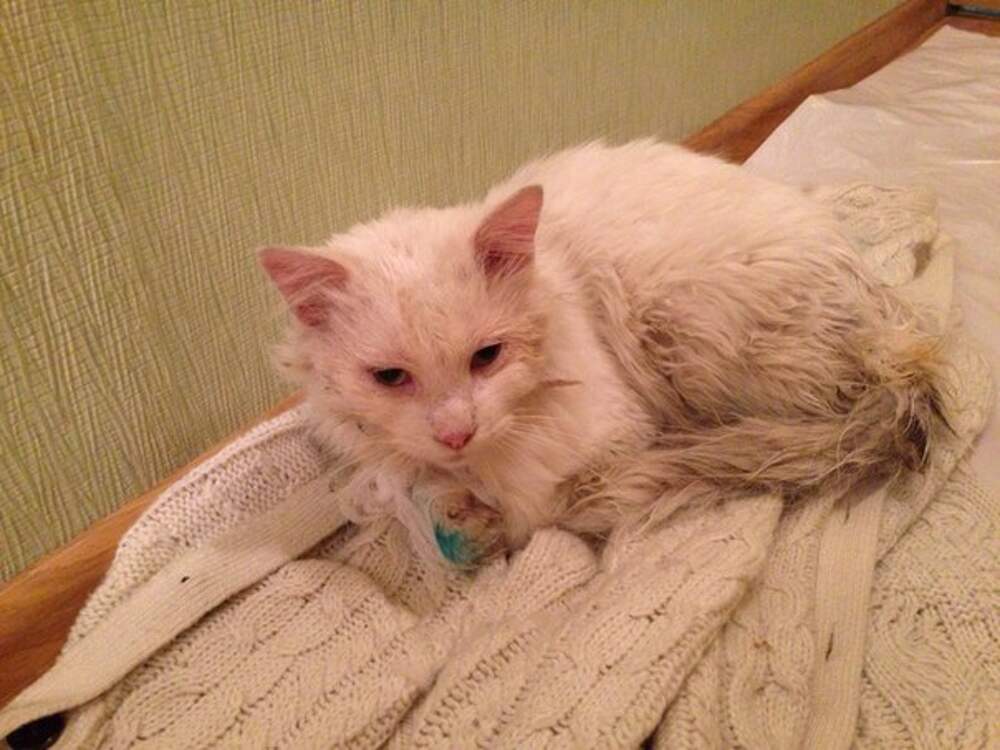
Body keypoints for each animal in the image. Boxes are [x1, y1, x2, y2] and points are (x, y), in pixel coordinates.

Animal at [260, 139, 943, 550]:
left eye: (487, 357)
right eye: (390, 378)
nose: (456, 434)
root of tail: (891, 323)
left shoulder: (614, 436)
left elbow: (531, 512)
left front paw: (482, 523)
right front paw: (457, 512)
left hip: (685, 327)